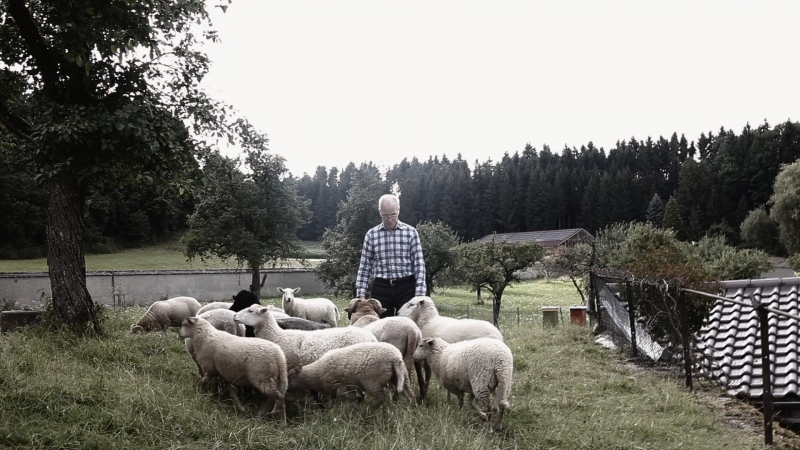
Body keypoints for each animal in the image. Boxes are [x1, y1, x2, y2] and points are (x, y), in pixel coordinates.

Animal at [288, 342, 416, 410]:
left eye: (289, 377)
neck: (316, 374)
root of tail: (395, 358)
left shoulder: (340, 387)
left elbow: (345, 400)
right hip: (401, 376)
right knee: (410, 394)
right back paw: (413, 409)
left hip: (371, 381)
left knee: (380, 397)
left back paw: (368, 412)